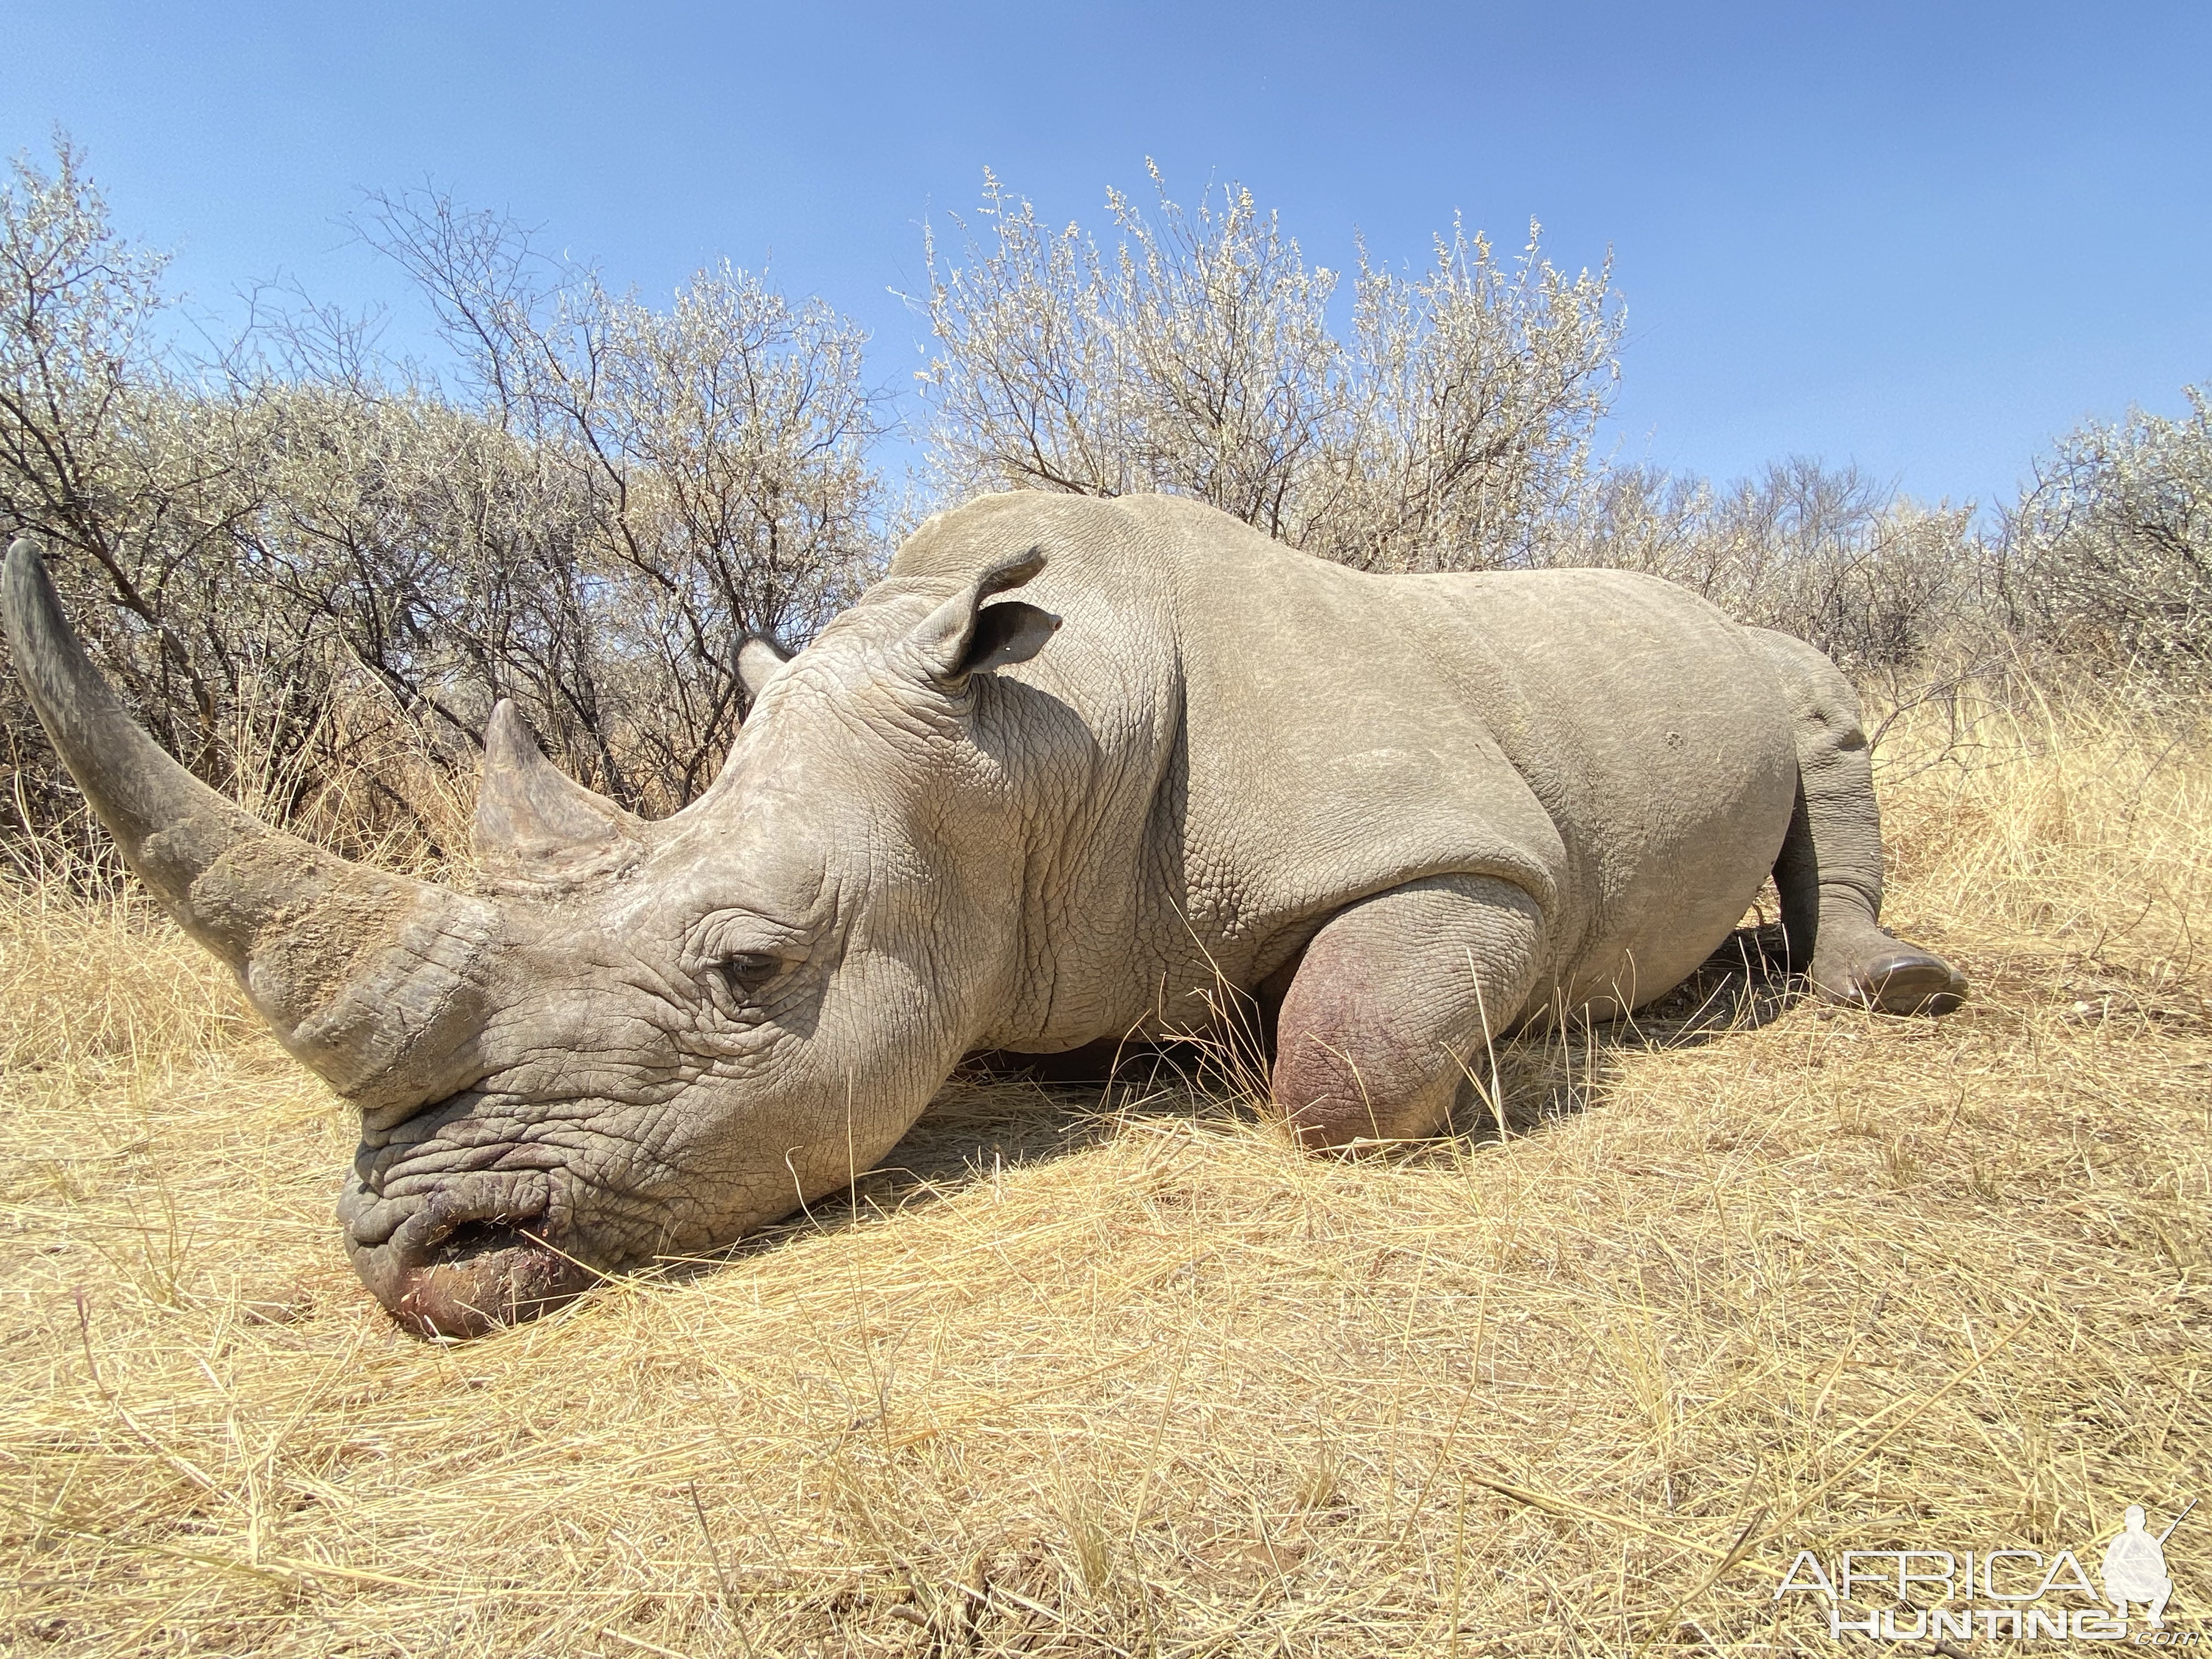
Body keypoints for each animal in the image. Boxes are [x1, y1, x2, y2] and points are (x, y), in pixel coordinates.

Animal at [0, 493, 1973, 1336]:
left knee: (1816, 692)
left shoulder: (1467, 852)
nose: (401, 1255)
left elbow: (1337, 1064)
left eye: (749, 969)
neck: (1031, 742)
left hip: (1741, 644)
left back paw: (1889, 990)